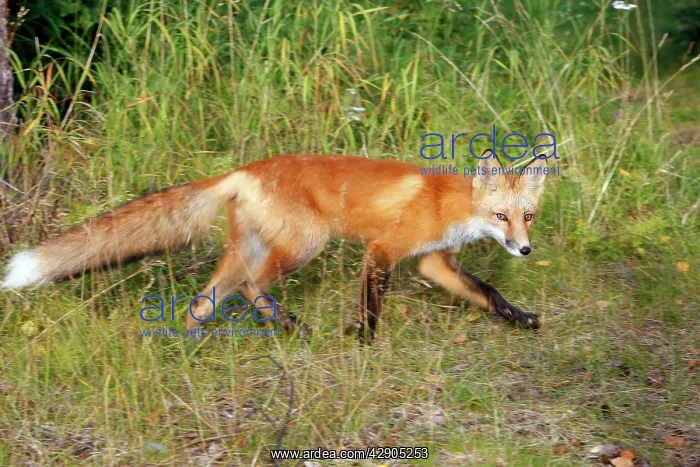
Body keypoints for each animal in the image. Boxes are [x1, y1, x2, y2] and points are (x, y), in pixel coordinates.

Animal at [1, 150, 548, 342]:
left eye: (528, 217)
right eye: (501, 217)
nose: (523, 251)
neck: (444, 201)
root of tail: (244, 169)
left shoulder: (435, 262)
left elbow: (488, 291)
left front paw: (520, 318)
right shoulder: (382, 249)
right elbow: (371, 307)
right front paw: (364, 343)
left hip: (246, 253)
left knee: (203, 303)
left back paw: (189, 347)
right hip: (306, 242)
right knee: (252, 286)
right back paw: (290, 326)